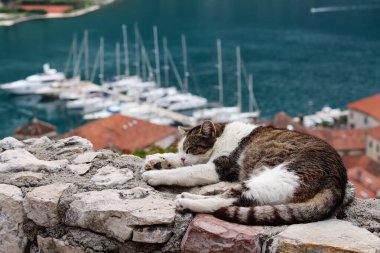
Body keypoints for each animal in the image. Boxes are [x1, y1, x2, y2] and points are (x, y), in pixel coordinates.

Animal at [142, 120, 348, 225]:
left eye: (191, 148)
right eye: (181, 149)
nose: (184, 157)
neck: (222, 135)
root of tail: (337, 179)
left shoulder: (218, 167)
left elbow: (185, 172)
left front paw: (155, 174)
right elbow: (177, 163)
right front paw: (157, 159)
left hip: (277, 176)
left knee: (225, 201)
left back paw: (186, 202)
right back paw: (187, 197)